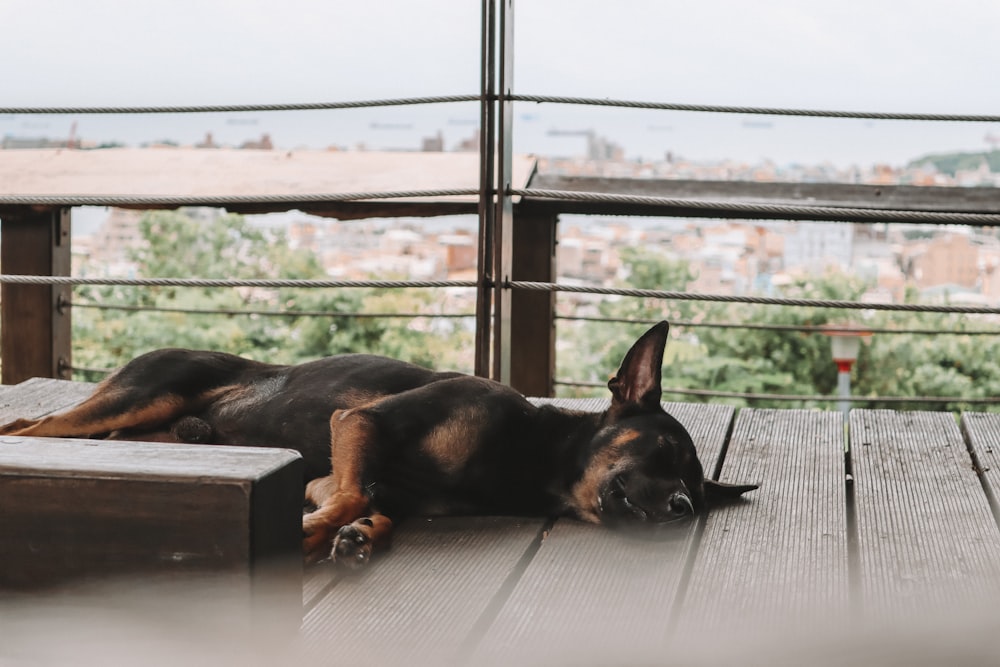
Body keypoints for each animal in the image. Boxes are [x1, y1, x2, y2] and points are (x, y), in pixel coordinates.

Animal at [0, 324, 752, 568]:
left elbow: (366, 502)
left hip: (156, 425)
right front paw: (310, 536)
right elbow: (353, 491)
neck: (527, 456)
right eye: (663, 451)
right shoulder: (360, 423)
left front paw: (358, 534)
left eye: (697, 488)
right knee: (36, 430)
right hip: (141, 393)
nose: (684, 506)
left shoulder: (331, 472)